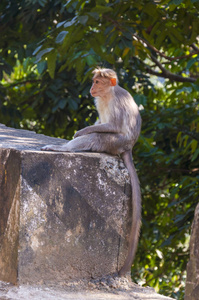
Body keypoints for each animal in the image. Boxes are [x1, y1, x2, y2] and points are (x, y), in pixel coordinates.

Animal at [41, 68, 141, 276]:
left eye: (97, 82)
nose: (92, 87)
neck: (107, 94)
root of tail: (128, 147)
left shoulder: (117, 103)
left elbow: (113, 126)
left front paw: (81, 131)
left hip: (114, 143)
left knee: (97, 136)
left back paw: (64, 148)